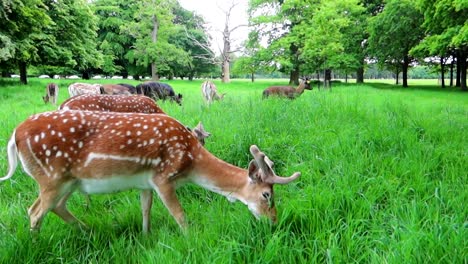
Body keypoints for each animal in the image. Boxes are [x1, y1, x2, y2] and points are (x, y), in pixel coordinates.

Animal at [0, 110, 300, 233]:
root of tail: (15, 134)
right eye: (267, 195)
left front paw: (146, 236)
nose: (274, 222)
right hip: (51, 176)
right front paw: (191, 239)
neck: (191, 163)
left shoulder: (145, 183)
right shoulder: (163, 177)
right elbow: (180, 215)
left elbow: (146, 209)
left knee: (54, 207)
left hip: (70, 182)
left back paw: (89, 231)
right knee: (35, 211)